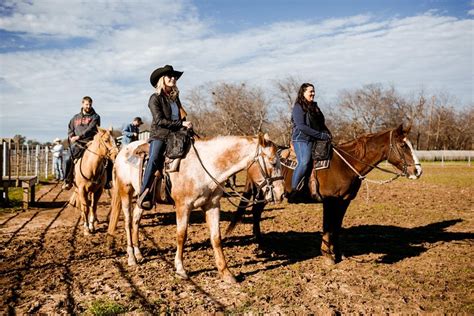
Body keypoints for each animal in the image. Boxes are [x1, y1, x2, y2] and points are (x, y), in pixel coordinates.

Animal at [108, 135, 286, 282]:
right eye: (273, 162)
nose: (281, 193)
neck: (204, 168)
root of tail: (122, 151)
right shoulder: (183, 206)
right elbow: (181, 235)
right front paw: (180, 270)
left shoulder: (212, 205)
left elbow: (216, 238)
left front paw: (226, 273)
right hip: (126, 192)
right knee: (128, 222)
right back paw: (131, 257)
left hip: (142, 199)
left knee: (136, 220)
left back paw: (138, 253)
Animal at [226, 123, 422, 264]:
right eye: (403, 145)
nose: (418, 171)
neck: (345, 164)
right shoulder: (330, 201)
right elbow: (328, 225)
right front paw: (327, 255)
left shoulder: (344, 201)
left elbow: (336, 227)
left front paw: (338, 253)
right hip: (262, 192)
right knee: (256, 212)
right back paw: (260, 243)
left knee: (257, 212)